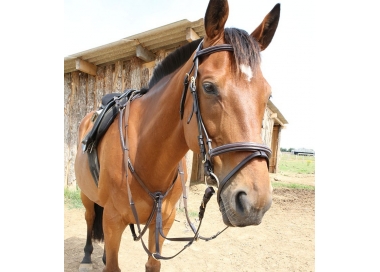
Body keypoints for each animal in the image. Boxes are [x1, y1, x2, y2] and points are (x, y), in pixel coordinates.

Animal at [75, 1, 280, 270]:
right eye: (208, 87)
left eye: (267, 94)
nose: (255, 201)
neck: (146, 155)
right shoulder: (112, 220)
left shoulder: (164, 221)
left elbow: (153, 263)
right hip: (87, 197)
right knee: (89, 218)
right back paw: (87, 255)